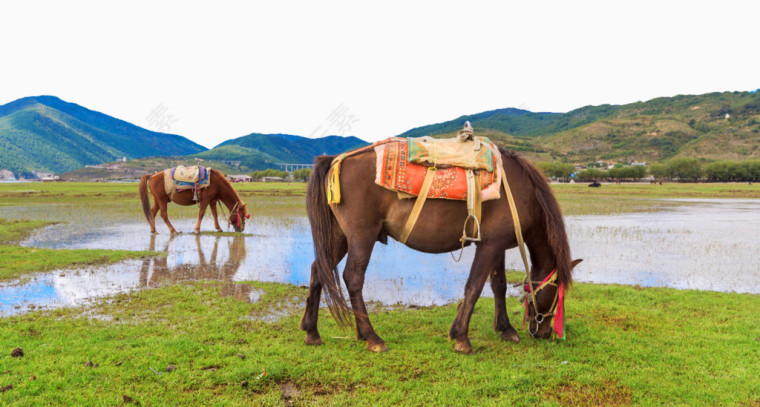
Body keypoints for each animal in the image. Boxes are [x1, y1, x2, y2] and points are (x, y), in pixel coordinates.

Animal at [300, 147, 580, 354]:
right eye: (557, 292)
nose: (544, 332)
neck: (521, 192)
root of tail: (335, 160)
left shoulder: (496, 244)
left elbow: (498, 285)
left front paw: (505, 329)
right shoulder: (489, 245)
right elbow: (474, 286)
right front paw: (462, 338)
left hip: (339, 237)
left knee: (318, 270)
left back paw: (313, 332)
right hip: (361, 236)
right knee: (353, 278)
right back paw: (372, 337)